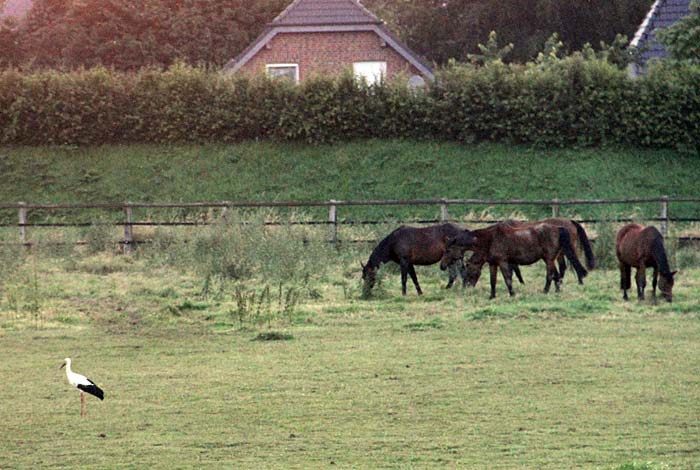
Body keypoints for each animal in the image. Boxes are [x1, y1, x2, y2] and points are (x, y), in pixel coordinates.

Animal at [442, 223, 584, 298]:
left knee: (550, 275)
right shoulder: (493, 264)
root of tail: (557, 228)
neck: (489, 239)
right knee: (556, 275)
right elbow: (493, 281)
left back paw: (545, 291)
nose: (442, 265)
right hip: (549, 259)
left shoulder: (503, 262)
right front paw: (492, 296)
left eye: (448, 250)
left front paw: (512, 294)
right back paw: (557, 290)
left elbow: (507, 279)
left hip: (549, 259)